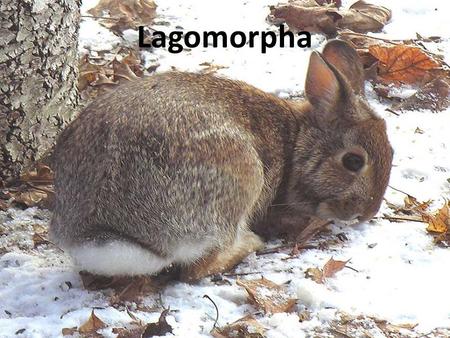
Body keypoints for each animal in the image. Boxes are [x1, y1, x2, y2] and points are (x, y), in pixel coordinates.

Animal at [51, 39, 392, 280]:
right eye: (352, 161)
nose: (368, 212)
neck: (298, 143)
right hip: (241, 180)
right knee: (197, 268)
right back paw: (249, 244)